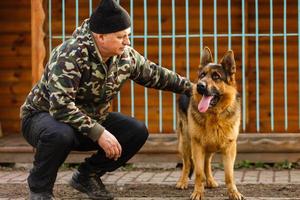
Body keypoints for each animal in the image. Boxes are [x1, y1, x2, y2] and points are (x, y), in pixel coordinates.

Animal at [176, 47, 244, 200]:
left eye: (216, 77)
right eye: (202, 75)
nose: (199, 86)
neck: (214, 115)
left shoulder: (230, 148)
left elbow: (229, 174)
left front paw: (233, 192)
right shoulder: (197, 145)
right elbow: (198, 172)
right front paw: (198, 192)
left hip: (209, 145)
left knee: (206, 163)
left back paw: (210, 181)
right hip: (186, 142)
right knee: (187, 164)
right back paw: (182, 181)